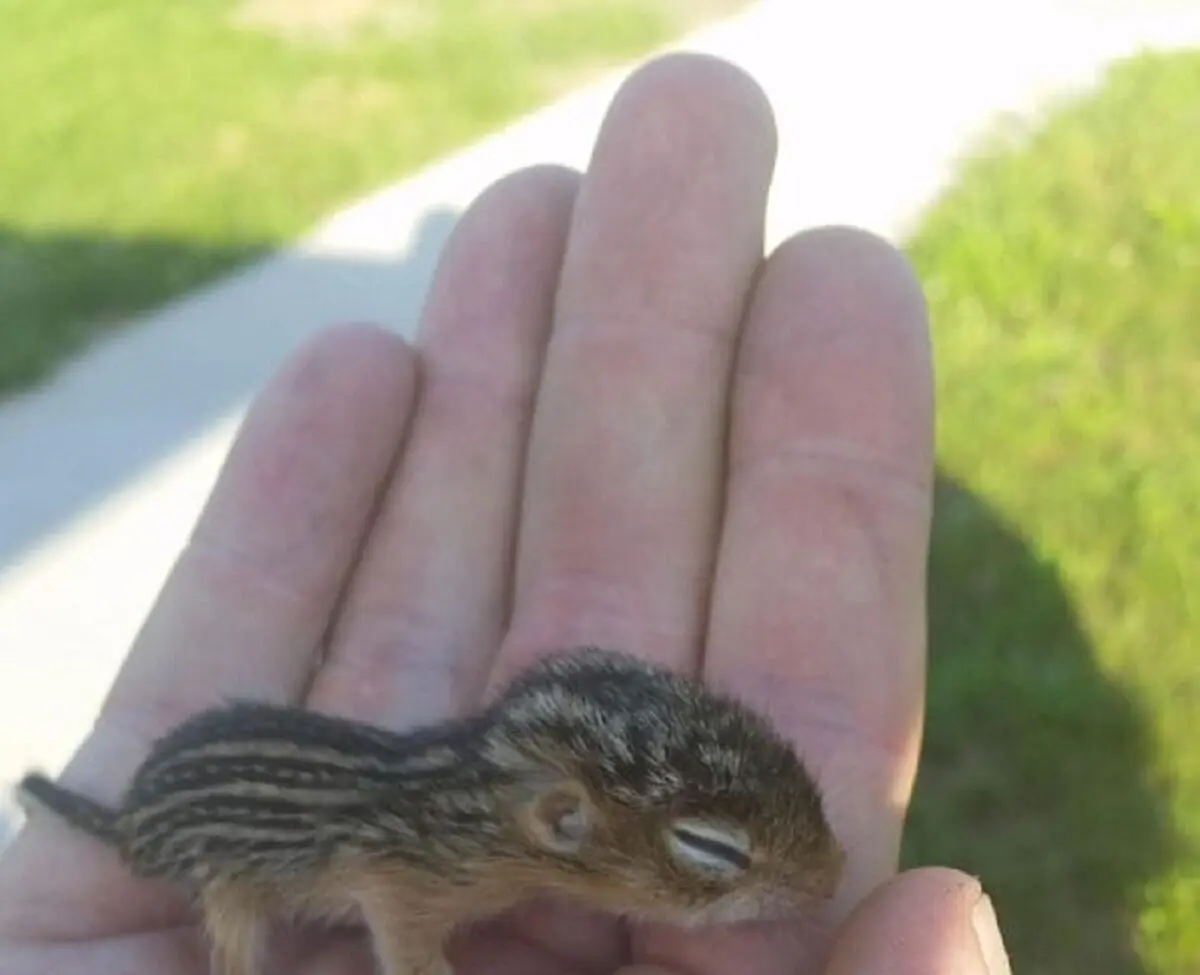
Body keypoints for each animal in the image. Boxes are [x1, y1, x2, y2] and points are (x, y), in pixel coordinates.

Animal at [16, 645, 844, 975]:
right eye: (713, 848)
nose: (836, 874)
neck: (469, 798)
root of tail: (127, 822)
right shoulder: (394, 886)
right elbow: (405, 948)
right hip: (226, 892)